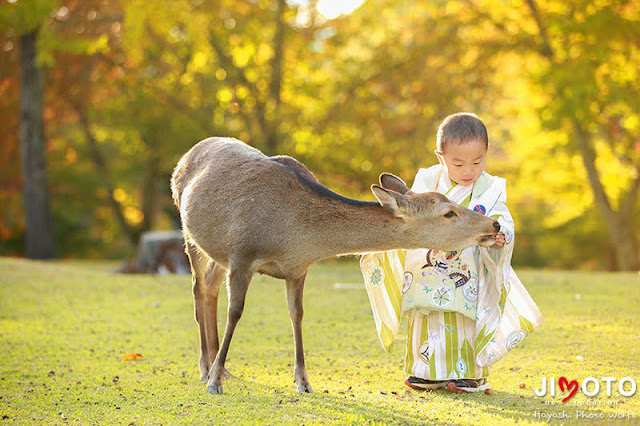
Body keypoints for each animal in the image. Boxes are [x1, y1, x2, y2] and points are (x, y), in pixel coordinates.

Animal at [171, 136, 500, 392]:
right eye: (448, 213)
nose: (494, 224)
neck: (294, 236)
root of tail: (186, 155)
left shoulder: (297, 268)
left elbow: (297, 314)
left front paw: (303, 381)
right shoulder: (242, 253)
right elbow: (236, 312)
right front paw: (215, 381)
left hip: (217, 252)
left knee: (211, 285)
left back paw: (221, 365)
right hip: (188, 232)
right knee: (198, 289)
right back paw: (207, 367)